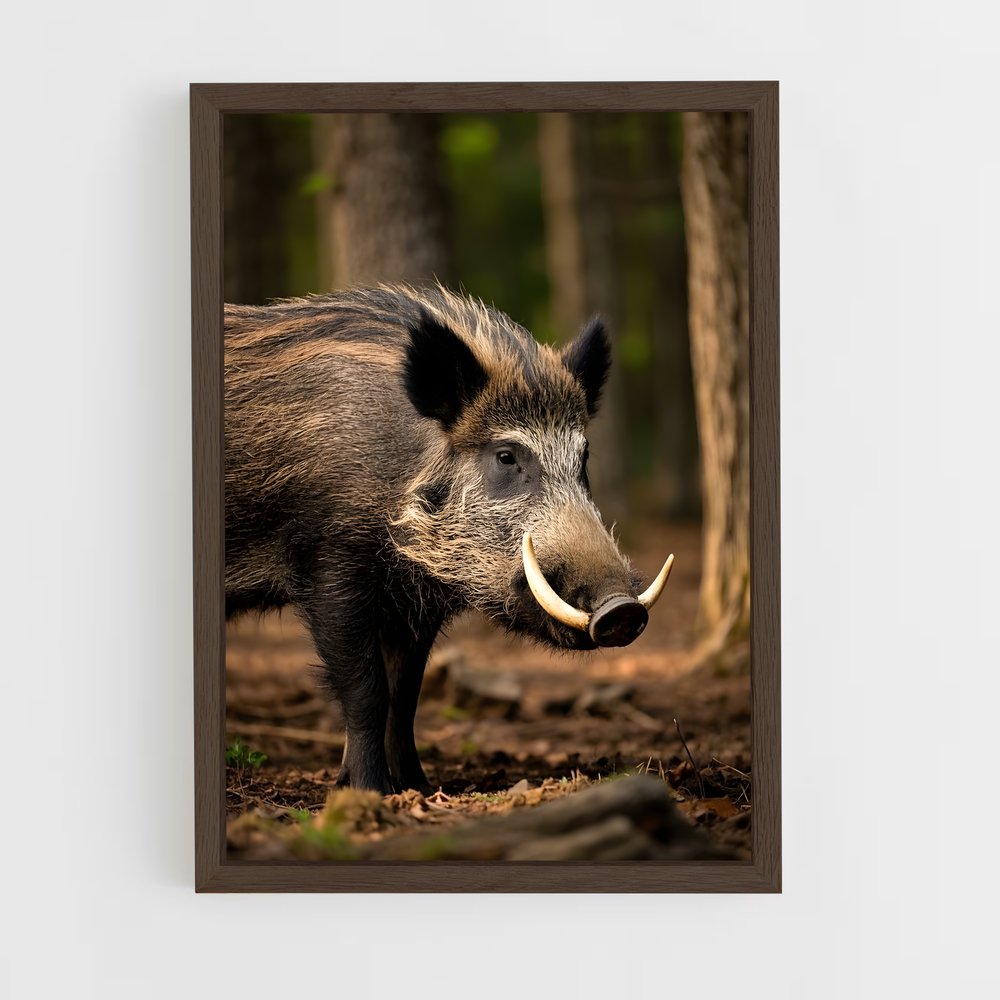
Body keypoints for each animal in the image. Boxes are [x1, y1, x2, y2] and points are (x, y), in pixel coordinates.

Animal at [224, 284, 673, 793]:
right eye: (505, 456)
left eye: (584, 457)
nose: (622, 609)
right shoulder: (330, 570)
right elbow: (367, 692)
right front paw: (372, 791)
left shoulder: (412, 606)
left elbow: (405, 696)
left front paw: (417, 787)